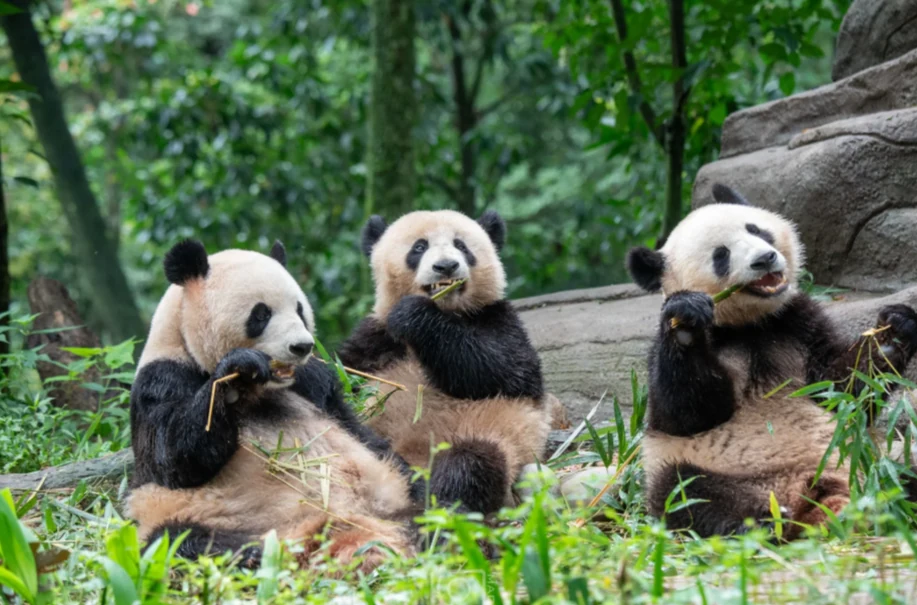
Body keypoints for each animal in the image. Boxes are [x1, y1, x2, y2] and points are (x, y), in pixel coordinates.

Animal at [126, 239, 418, 572]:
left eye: (300, 309)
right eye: (261, 314)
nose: (302, 346)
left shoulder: (313, 383)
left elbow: (356, 428)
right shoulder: (162, 379)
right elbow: (176, 458)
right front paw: (238, 369)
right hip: (196, 515)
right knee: (179, 540)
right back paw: (253, 554)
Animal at [337, 210, 551, 515]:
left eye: (461, 245)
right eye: (419, 247)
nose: (446, 266)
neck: (447, 310)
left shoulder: (497, 319)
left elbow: (502, 369)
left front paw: (413, 315)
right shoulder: (374, 340)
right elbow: (343, 373)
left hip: (490, 437)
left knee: (472, 464)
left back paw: (434, 500)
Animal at [626, 183, 917, 539]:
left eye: (755, 230)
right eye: (720, 255)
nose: (764, 258)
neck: (749, 323)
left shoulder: (798, 324)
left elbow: (841, 388)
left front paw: (894, 331)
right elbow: (685, 412)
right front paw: (686, 321)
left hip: (872, 462)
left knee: (905, 473)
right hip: (706, 471)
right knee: (685, 491)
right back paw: (758, 523)